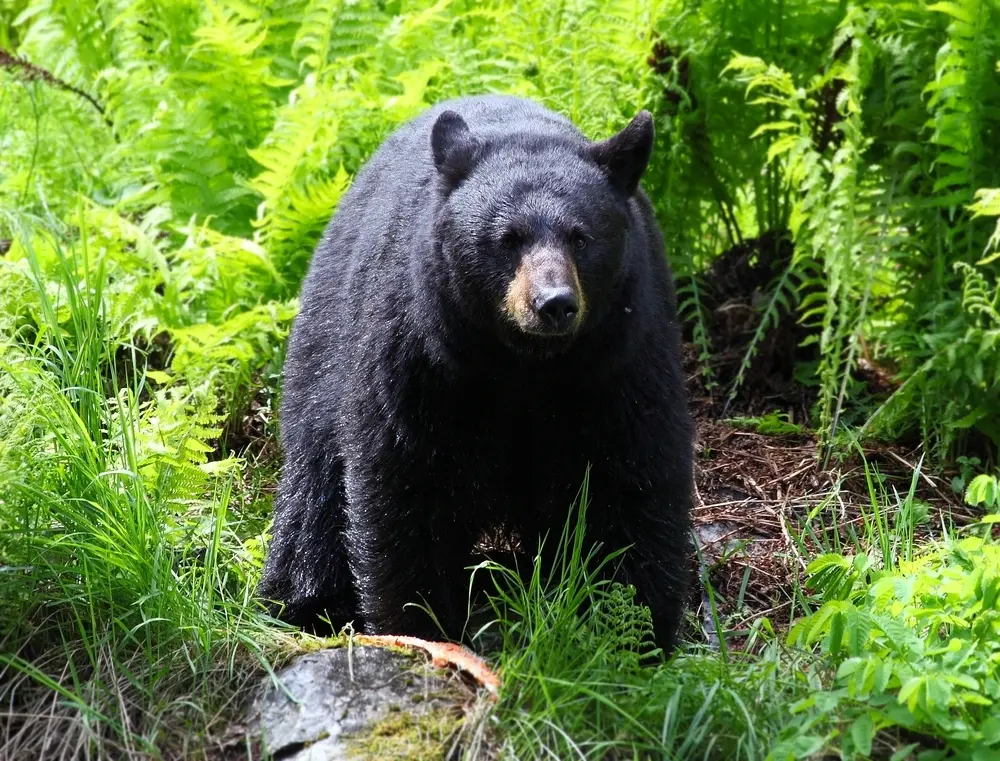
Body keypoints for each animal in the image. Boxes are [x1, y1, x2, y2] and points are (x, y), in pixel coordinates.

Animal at [258, 95, 696, 652]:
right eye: (507, 239)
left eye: (581, 237)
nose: (554, 303)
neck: (524, 366)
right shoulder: (420, 357)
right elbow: (406, 482)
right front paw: (419, 624)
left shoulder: (620, 357)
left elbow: (631, 475)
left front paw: (632, 631)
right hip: (326, 341)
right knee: (314, 484)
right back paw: (308, 601)